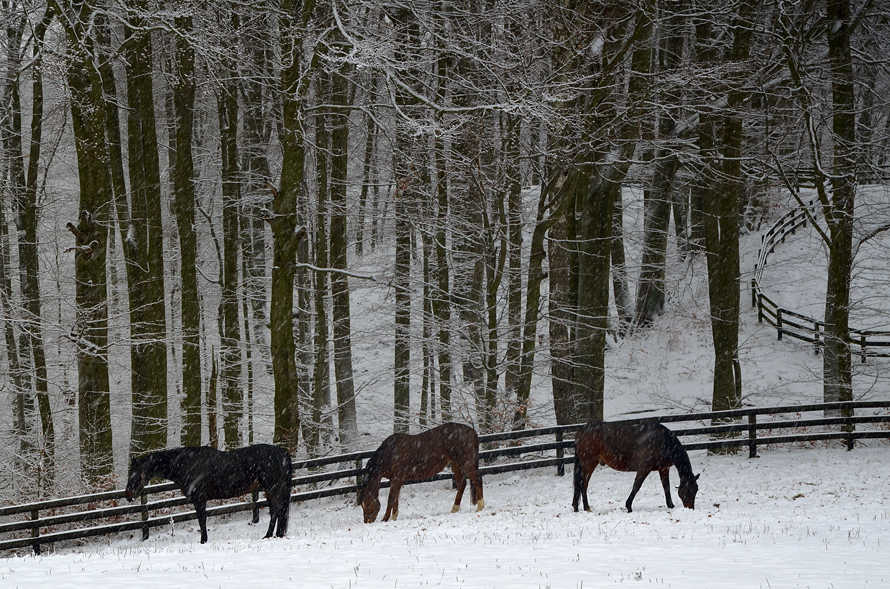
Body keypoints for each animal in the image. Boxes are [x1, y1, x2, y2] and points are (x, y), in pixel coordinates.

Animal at [125, 444, 292, 544]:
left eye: (134, 474)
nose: (128, 495)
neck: (186, 464)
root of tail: (283, 452)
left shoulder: (199, 500)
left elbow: (202, 521)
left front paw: (203, 541)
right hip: (270, 489)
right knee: (276, 510)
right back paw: (273, 535)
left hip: (272, 488)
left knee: (276, 510)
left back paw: (270, 535)